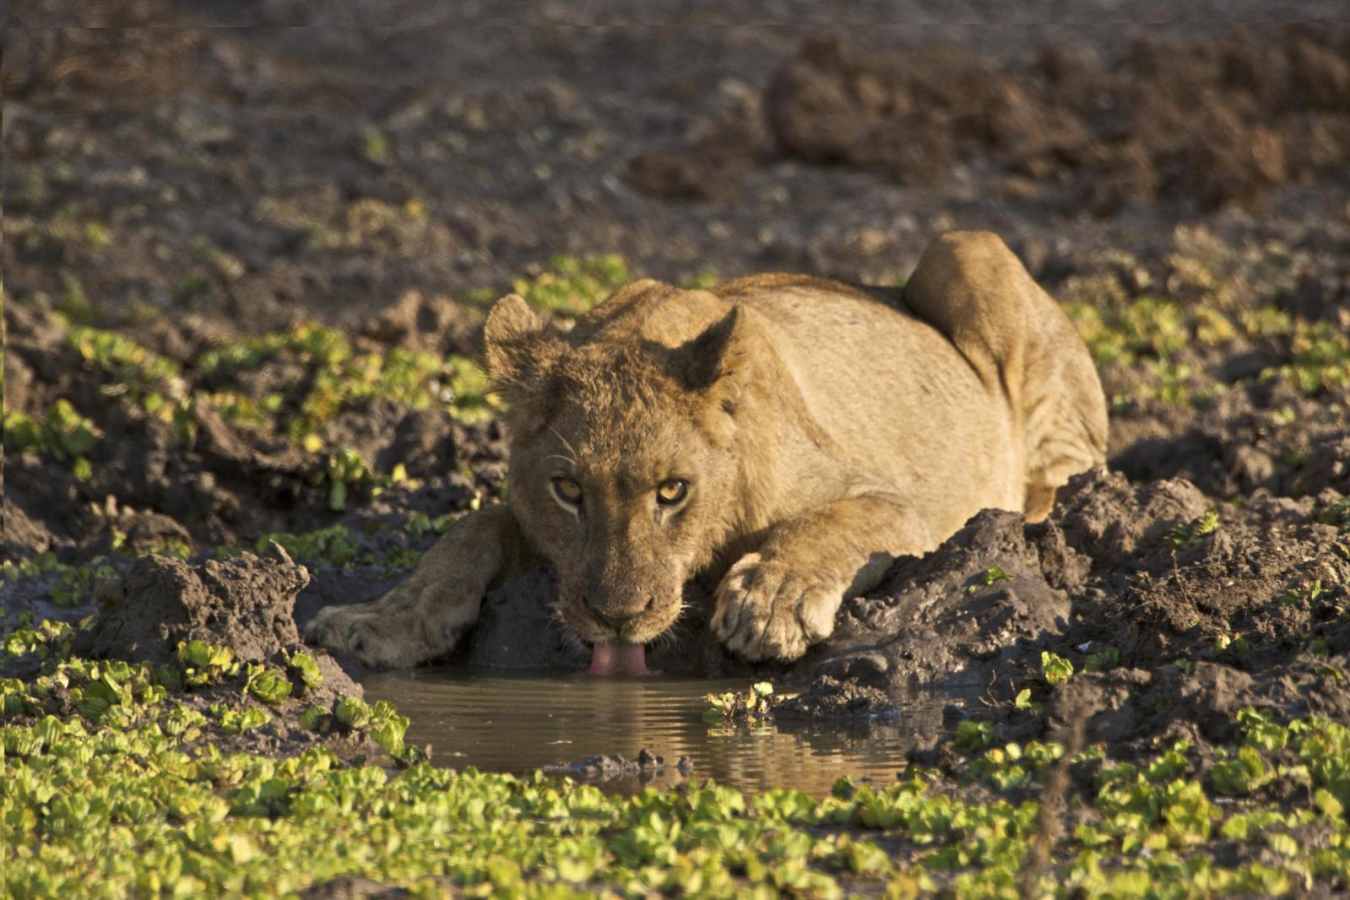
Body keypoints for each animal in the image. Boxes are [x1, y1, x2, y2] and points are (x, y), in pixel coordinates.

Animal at [305, 231, 1107, 674]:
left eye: (672, 491)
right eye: (569, 490)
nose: (617, 617)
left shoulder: (906, 506)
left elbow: (829, 523)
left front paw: (770, 602)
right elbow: (469, 529)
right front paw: (383, 620)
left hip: (969, 249)